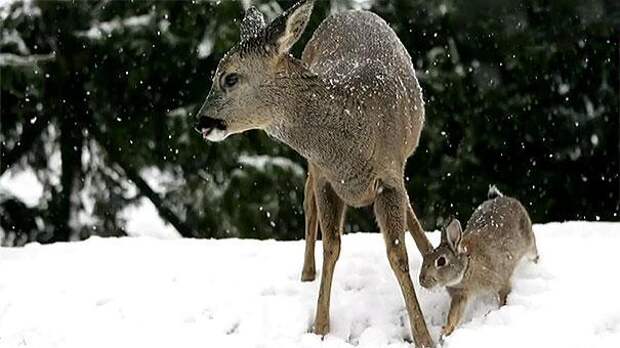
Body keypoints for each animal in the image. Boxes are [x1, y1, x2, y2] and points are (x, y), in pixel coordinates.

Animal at [195, 1, 436, 346]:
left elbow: (396, 253)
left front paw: (425, 336)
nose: (201, 122)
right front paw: (320, 328)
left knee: (408, 206)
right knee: (308, 204)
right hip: (312, 166)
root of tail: (351, 12)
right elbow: (331, 246)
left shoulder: (389, 177)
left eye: (229, 78)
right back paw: (307, 273)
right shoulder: (325, 177)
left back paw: (430, 251)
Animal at [418, 188, 540, 338]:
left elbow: (504, 296)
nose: (422, 281)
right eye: (425, 258)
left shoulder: (501, 280)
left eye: (441, 261)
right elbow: (454, 315)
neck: (467, 267)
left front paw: (499, 310)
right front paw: (446, 330)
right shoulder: (461, 295)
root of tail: (503, 198)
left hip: (529, 242)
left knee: (534, 253)